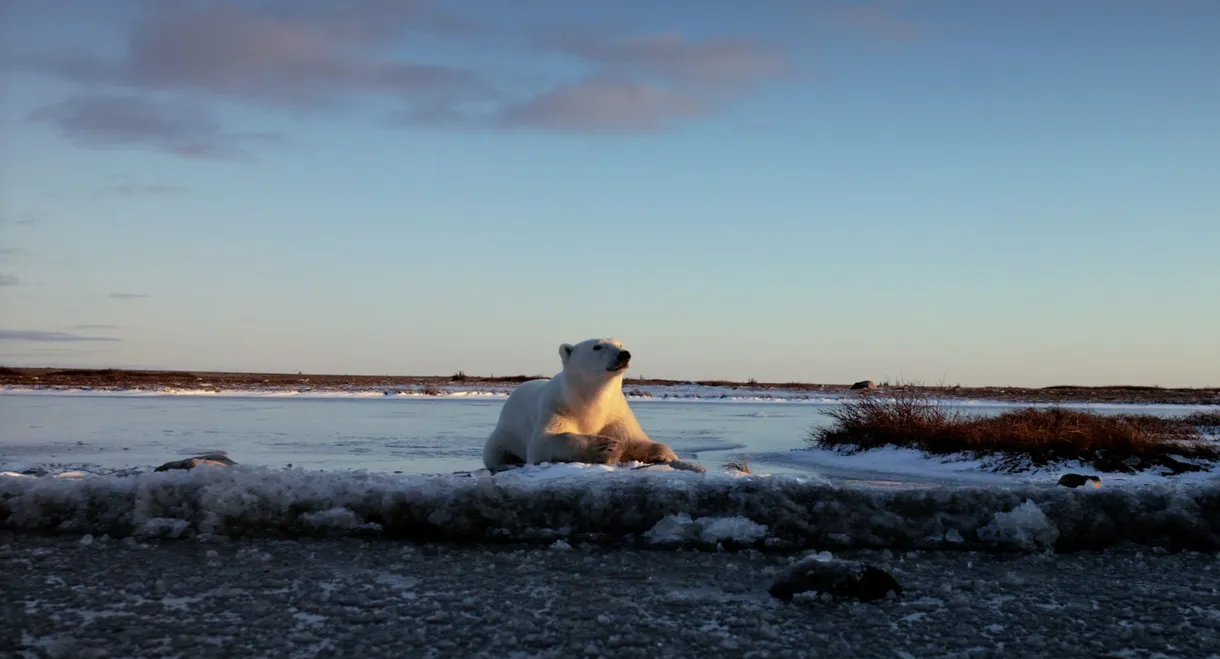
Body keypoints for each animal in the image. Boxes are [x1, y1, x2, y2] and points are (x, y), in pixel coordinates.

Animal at [483, 336, 678, 471]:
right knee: (495, 452)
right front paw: (605, 447)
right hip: (505, 433)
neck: (589, 401)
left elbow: (635, 439)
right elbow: (543, 442)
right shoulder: (557, 406)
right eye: (597, 346)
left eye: (620, 344)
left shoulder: (615, 414)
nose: (624, 354)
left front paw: (665, 456)